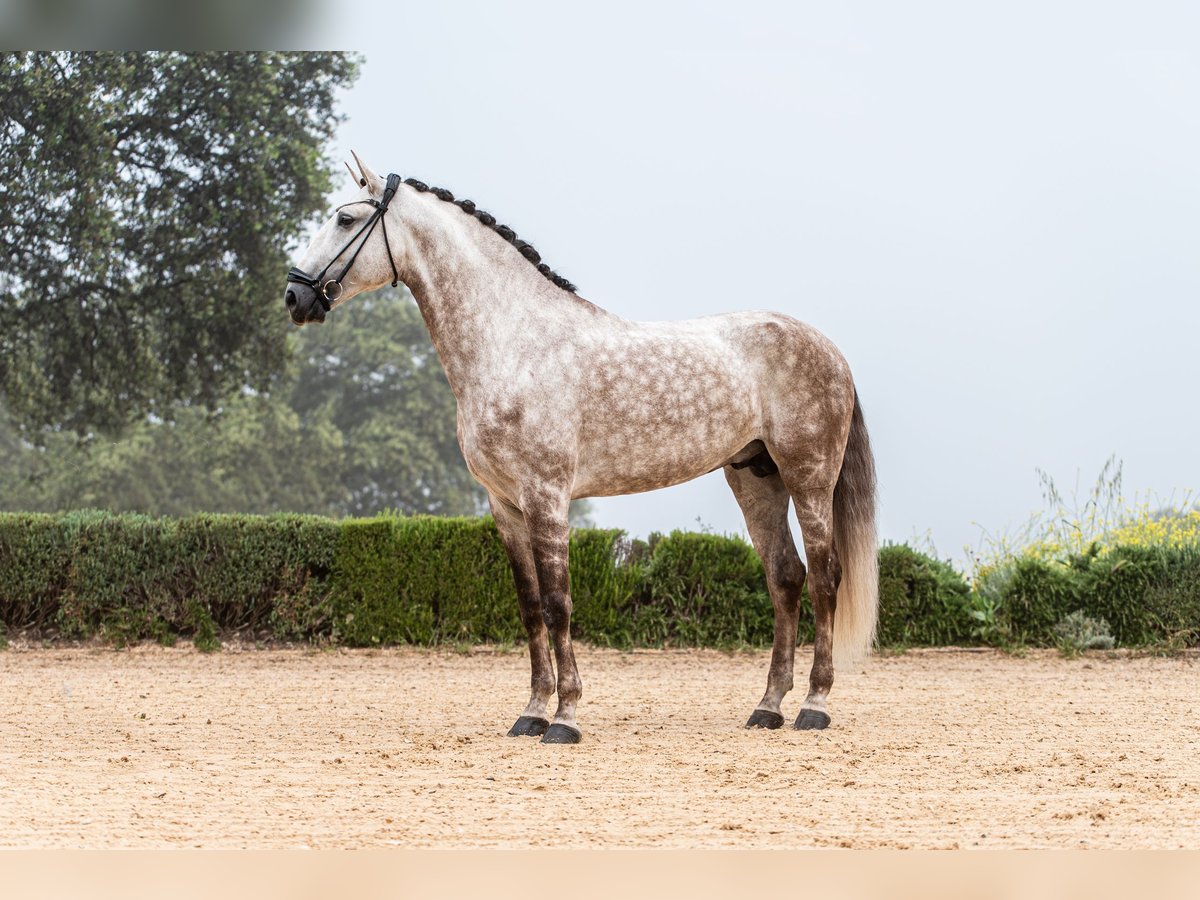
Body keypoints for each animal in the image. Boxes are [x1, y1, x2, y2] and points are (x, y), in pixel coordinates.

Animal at [284, 154, 878, 748]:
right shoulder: (505, 504)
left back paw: (814, 705)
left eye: (344, 219)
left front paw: (565, 717)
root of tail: (829, 349)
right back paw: (768, 706)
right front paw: (531, 713)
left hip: (808, 478)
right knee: (786, 578)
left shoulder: (546, 496)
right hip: (755, 477)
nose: (295, 296)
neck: (515, 343)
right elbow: (529, 609)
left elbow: (558, 604)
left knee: (824, 578)